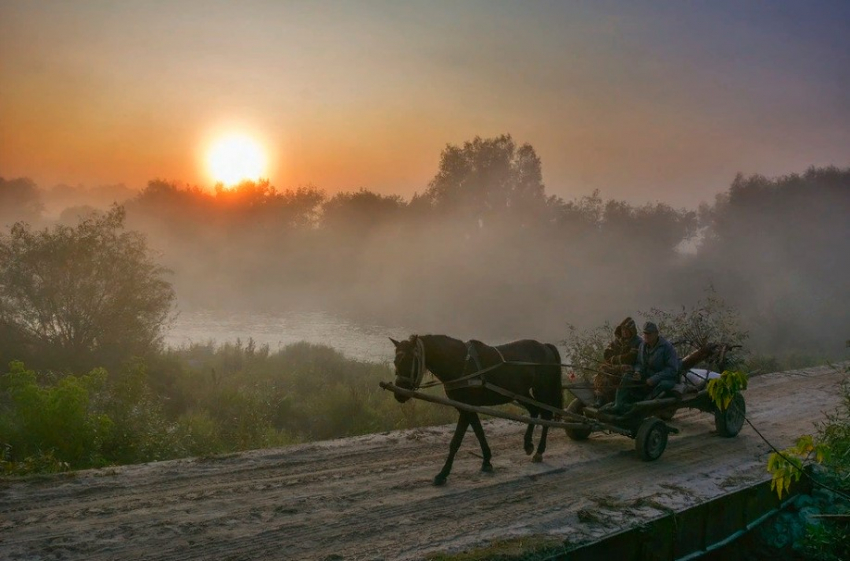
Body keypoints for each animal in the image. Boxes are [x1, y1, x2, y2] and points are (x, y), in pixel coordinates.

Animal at [390, 334, 564, 484]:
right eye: (395, 361)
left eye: (408, 360)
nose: (399, 394)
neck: (461, 363)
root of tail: (544, 346)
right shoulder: (466, 408)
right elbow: (479, 432)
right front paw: (486, 460)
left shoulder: (467, 407)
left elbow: (456, 441)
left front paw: (443, 473)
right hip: (520, 393)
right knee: (534, 410)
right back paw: (528, 444)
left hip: (542, 389)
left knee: (546, 415)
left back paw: (539, 451)